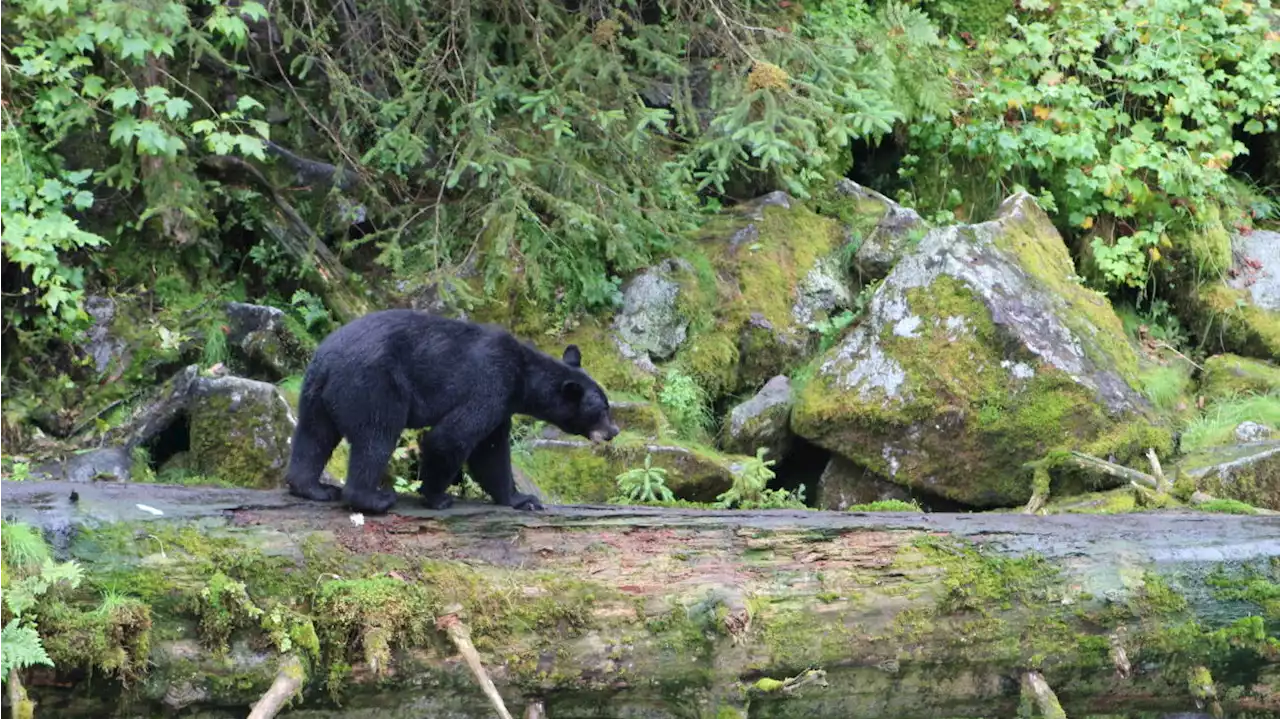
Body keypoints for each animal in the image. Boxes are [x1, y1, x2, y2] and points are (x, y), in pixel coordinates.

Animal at [284, 310, 619, 511]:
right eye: (602, 409)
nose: (613, 431)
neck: (523, 376)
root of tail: (327, 360)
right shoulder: (490, 384)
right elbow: (452, 437)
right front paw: (437, 496)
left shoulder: (502, 404)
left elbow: (491, 451)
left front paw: (522, 498)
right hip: (373, 385)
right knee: (376, 436)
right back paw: (374, 498)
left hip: (315, 393)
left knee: (313, 436)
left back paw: (313, 488)